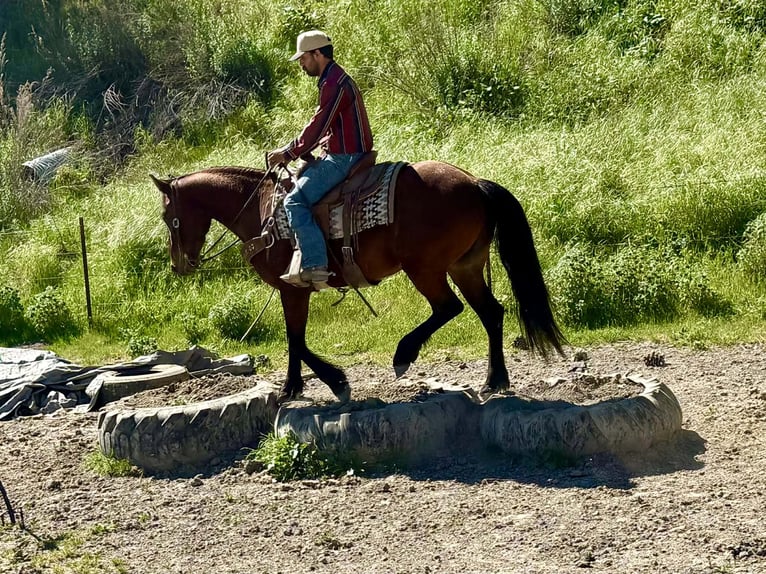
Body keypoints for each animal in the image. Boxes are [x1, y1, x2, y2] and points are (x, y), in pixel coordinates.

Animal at [150, 160, 567, 403]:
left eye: (168, 217)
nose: (178, 265)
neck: (261, 210)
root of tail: (475, 183)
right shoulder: (294, 291)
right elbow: (296, 339)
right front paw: (301, 385)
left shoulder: (292, 289)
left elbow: (294, 338)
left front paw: (321, 384)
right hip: (465, 267)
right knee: (491, 313)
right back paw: (494, 380)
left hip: (426, 269)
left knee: (449, 307)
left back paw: (404, 354)